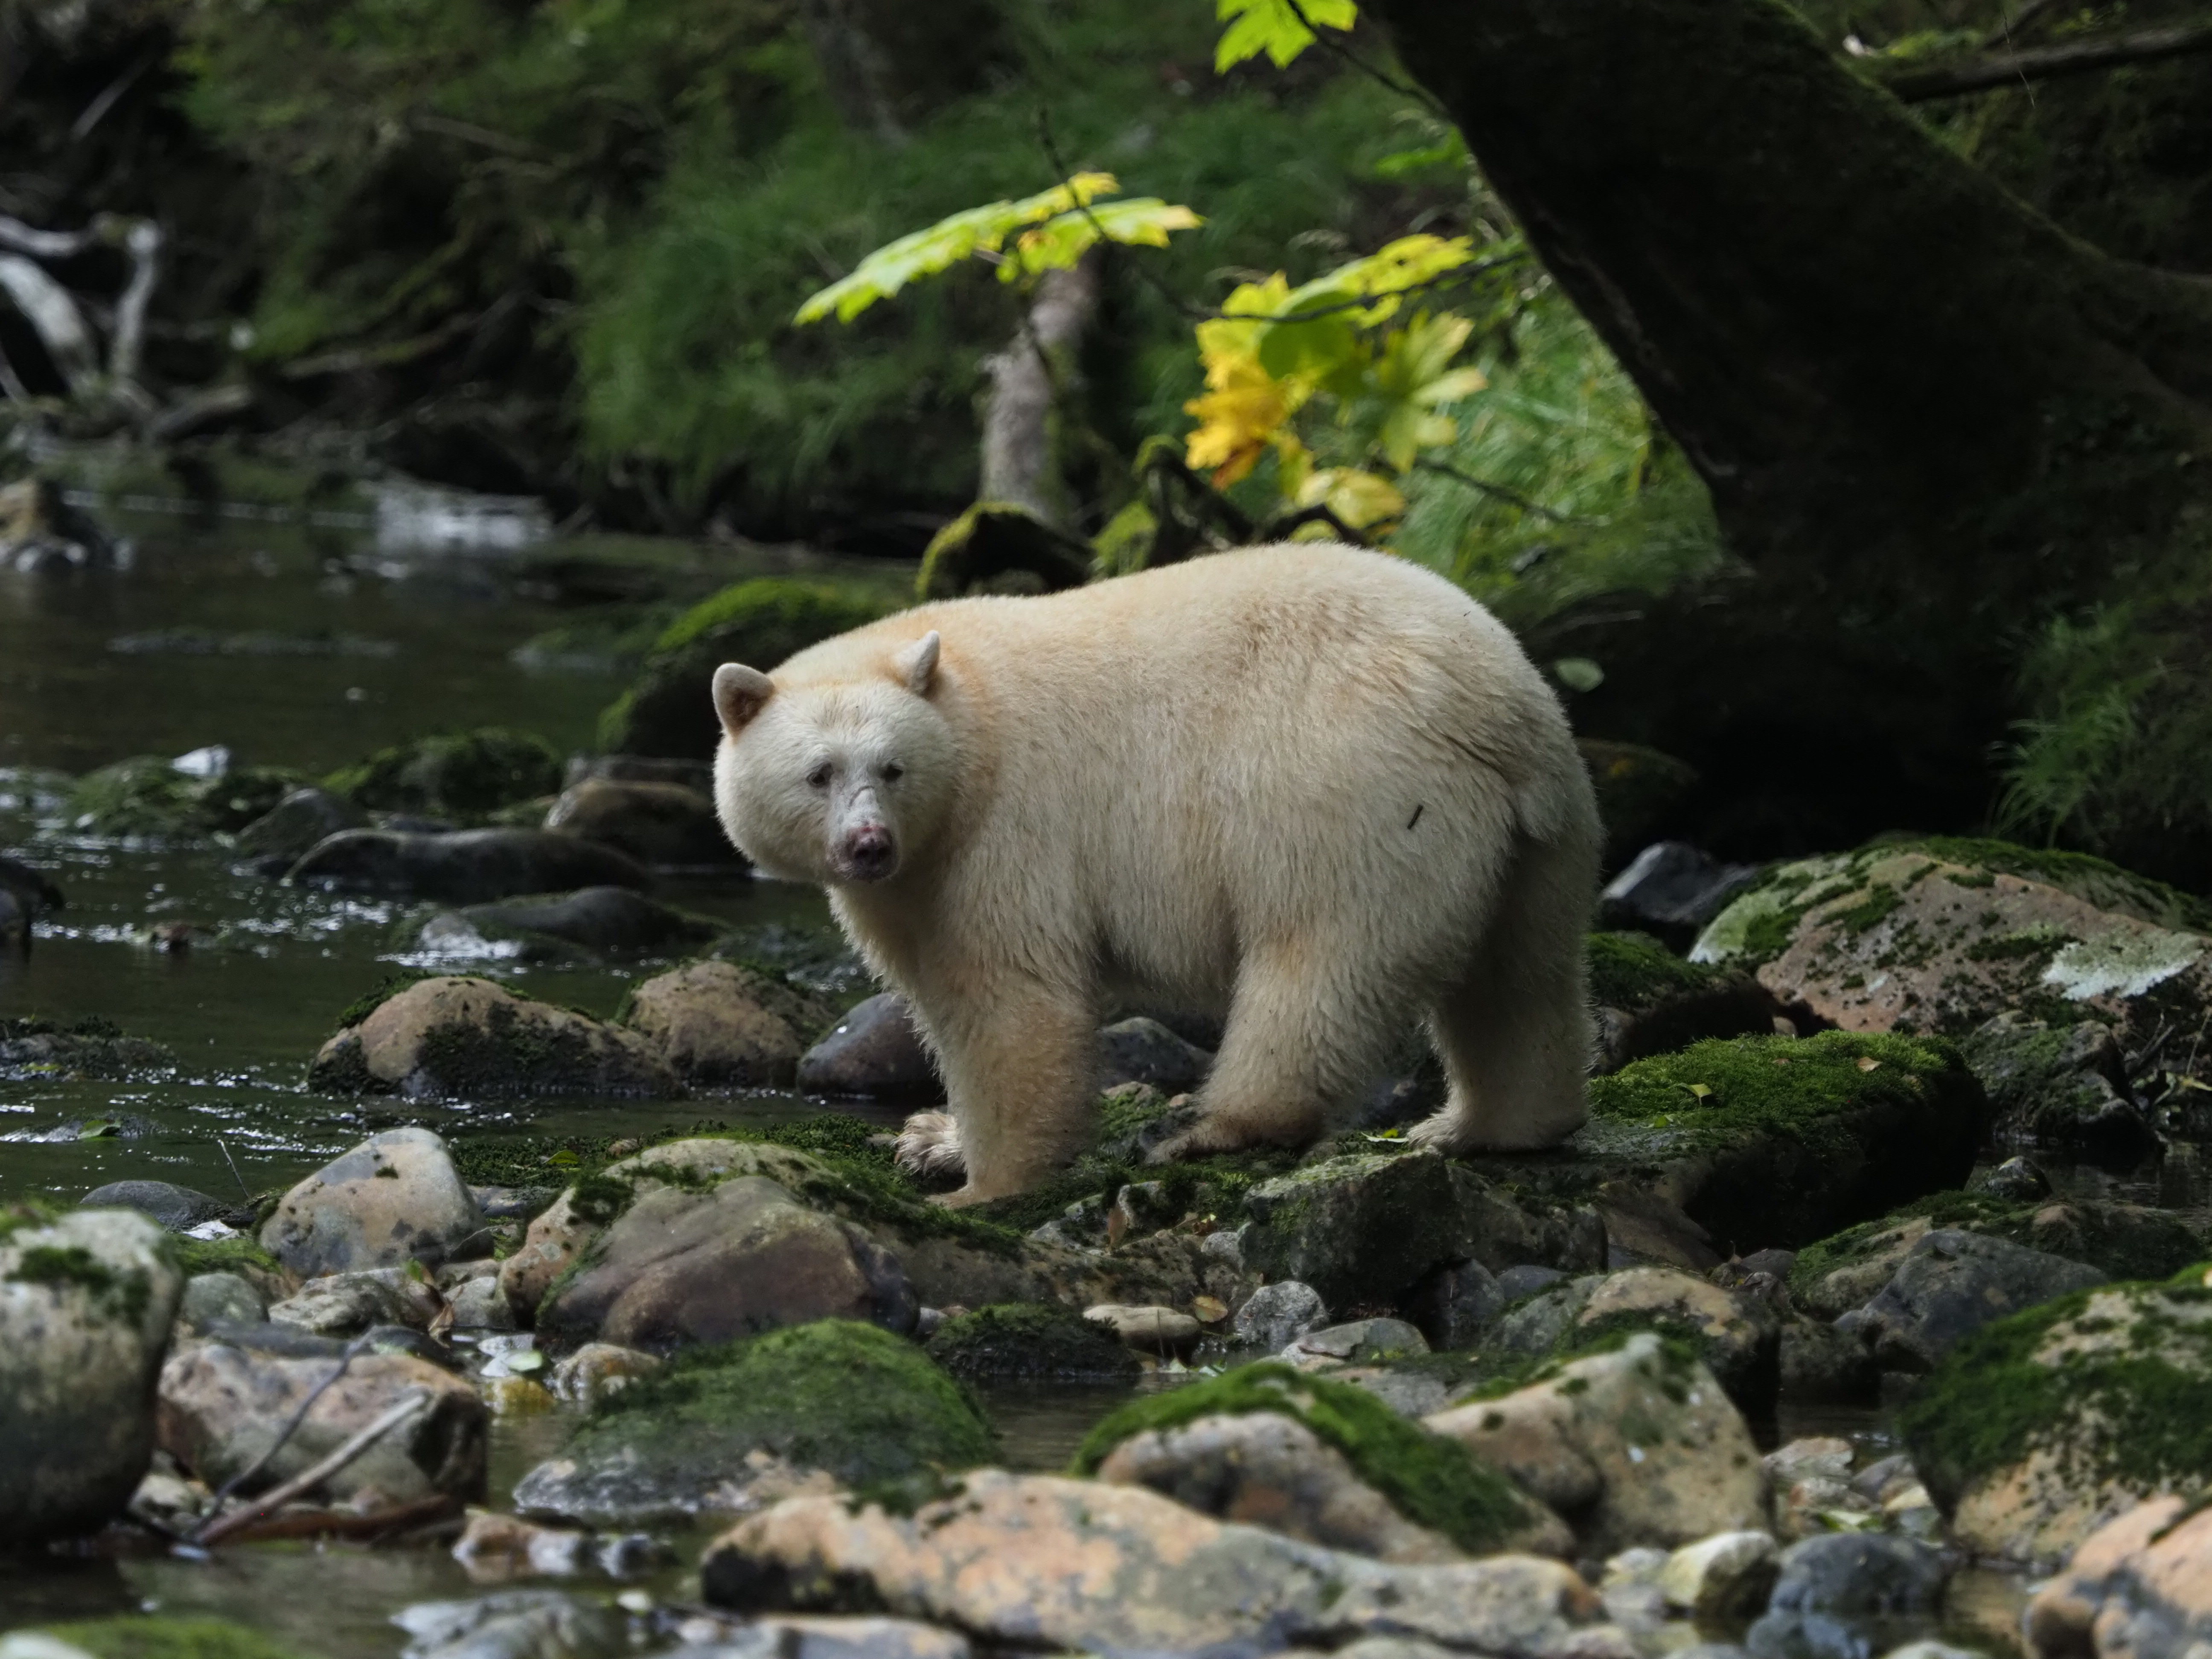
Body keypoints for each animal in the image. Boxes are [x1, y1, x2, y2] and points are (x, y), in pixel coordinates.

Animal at [716, 546, 1601, 1212]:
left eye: (891, 767)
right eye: (818, 773)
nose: (867, 845)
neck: (968, 718)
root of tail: (1498, 711)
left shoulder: (1004, 836)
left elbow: (1007, 1002)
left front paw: (980, 1181)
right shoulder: (917, 874)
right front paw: (932, 1139)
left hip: (1348, 799)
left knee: (1318, 964)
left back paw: (1216, 1127)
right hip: (1540, 842)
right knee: (1519, 976)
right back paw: (1487, 1124)